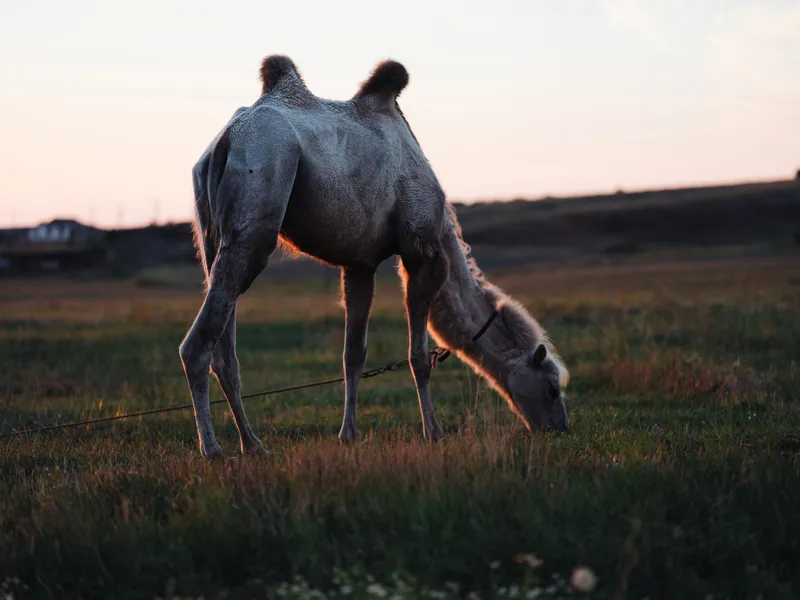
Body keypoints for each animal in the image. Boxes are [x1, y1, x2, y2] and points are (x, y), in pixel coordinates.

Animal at [181, 56, 570, 459]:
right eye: (552, 387)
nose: (561, 428)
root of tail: (226, 141)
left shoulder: (359, 265)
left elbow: (353, 354)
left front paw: (348, 434)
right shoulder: (421, 253)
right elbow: (419, 357)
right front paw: (434, 433)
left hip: (212, 237)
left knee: (225, 350)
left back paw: (253, 445)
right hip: (259, 201)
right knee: (197, 345)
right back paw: (212, 449)